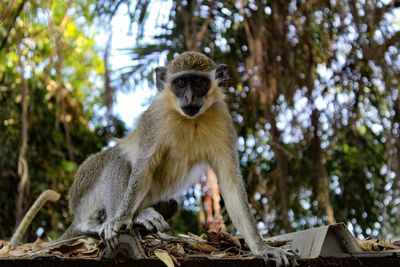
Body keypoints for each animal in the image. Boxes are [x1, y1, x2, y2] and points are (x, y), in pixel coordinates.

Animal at [64, 51, 296, 266]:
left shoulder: (223, 120)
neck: (190, 120)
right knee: (116, 160)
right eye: (181, 83)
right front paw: (120, 220)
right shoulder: (156, 118)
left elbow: (231, 184)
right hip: (84, 193)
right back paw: (112, 220)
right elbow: (143, 168)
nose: (190, 97)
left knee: (172, 202)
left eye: (199, 82)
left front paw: (263, 247)